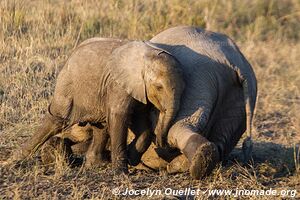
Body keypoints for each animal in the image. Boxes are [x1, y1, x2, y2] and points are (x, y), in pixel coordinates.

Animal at [7, 38, 185, 173]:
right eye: (159, 87)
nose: (165, 144)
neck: (148, 56)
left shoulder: (139, 91)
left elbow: (143, 127)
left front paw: (131, 159)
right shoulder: (119, 85)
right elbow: (119, 117)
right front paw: (121, 172)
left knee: (101, 125)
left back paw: (96, 164)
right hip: (67, 84)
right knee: (57, 118)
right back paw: (13, 161)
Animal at [148, 25, 258, 179]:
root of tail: (237, 62)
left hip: (198, 79)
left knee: (177, 127)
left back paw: (186, 166)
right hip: (242, 97)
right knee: (221, 140)